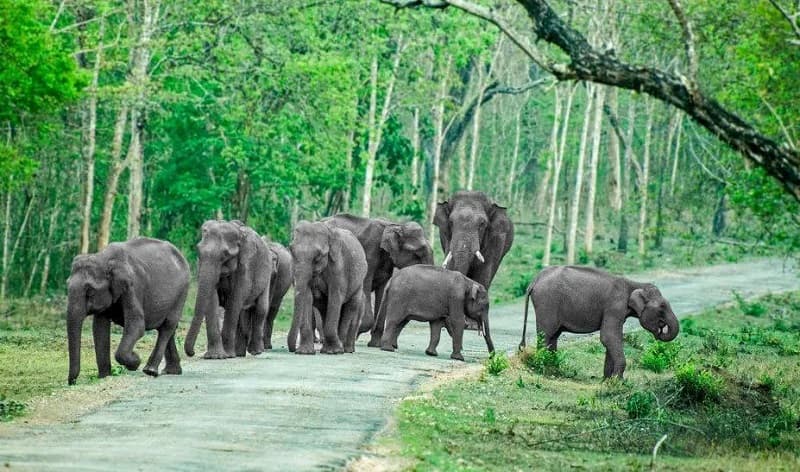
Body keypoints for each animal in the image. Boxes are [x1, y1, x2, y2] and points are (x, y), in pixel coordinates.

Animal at [66, 237, 189, 385]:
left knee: (168, 326)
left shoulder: (132, 287)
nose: (72, 382)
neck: (104, 258)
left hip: (182, 292)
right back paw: (171, 371)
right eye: (67, 286)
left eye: (90, 292)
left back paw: (150, 370)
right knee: (168, 328)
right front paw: (104, 377)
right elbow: (99, 329)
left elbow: (137, 325)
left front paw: (135, 361)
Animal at [184, 220, 274, 359]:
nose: (192, 353)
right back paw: (239, 353)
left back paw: (255, 351)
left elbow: (235, 300)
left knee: (260, 309)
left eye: (225, 254)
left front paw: (227, 355)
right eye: (198, 251)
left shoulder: (245, 266)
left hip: (268, 272)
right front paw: (215, 357)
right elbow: (212, 299)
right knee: (241, 313)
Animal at [287, 221, 367, 355]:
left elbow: (335, 297)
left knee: (350, 307)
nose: (292, 349)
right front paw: (305, 352)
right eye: (291, 251)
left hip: (359, 284)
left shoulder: (339, 266)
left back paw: (344, 349)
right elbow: (307, 297)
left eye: (318, 256)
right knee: (324, 308)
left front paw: (333, 352)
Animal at [322, 213, 433, 346]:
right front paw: (358, 333)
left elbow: (382, 290)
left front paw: (375, 344)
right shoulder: (369, 252)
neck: (395, 225)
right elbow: (366, 284)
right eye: (417, 254)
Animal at [520, 265, 680, 378]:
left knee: (553, 336)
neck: (634, 284)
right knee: (546, 335)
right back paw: (543, 369)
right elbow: (609, 337)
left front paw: (608, 381)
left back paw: (553, 370)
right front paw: (617, 382)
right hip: (547, 303)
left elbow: (612, 338)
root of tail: (534, 280)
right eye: (662, 308)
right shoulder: (614, 306)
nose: (659, 331)